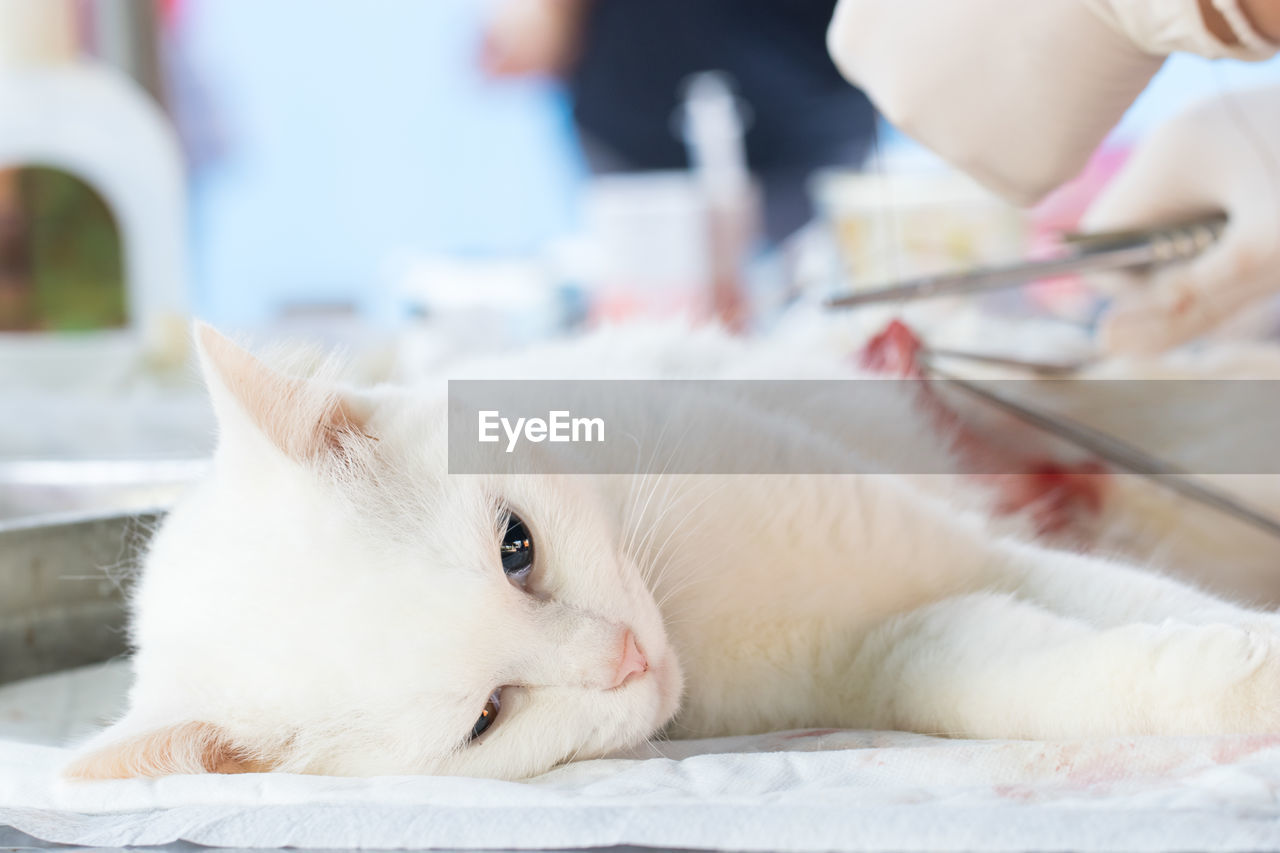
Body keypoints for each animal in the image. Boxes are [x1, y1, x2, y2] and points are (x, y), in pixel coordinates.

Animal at [67, 322, 1280, 778]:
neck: (705, 622)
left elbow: (1145, 606)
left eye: (516, 546)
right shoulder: (911, 637)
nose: (625, 659)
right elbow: (1064, 674)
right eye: (486, 716)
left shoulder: (975, 553)